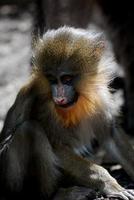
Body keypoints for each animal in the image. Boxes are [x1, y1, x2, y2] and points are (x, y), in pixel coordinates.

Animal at [0, 27, 134, 200]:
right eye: (52, 79)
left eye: (66, 79)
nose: (59, 96)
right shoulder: (43, 105)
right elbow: (57, 147)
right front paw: (109, 184)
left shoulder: (100, 97)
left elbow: (111, 135)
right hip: (12, 182)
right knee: (30, 130)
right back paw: (58, 194)